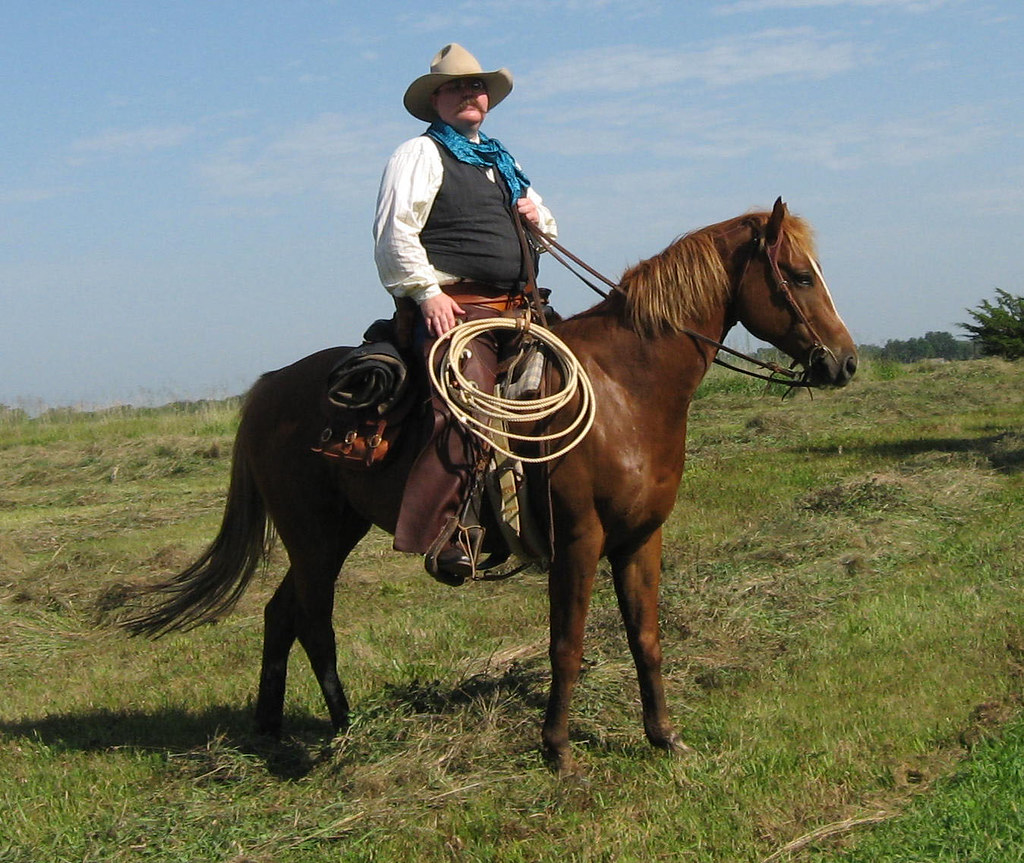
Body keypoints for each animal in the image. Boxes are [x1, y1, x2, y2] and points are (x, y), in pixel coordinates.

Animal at [127, 198, 858, 775]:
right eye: (798, 275)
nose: (845, 363)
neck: (626, 390)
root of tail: (269, 387)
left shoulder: (641, 537)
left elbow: (646, 637)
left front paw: (664, 735)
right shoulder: (578, 540)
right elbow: (568, 644)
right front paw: (558, 749)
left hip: (331, 533)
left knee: (281, 614)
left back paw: (272, 729)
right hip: (313, 537)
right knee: (312, 619)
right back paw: (343, 728)